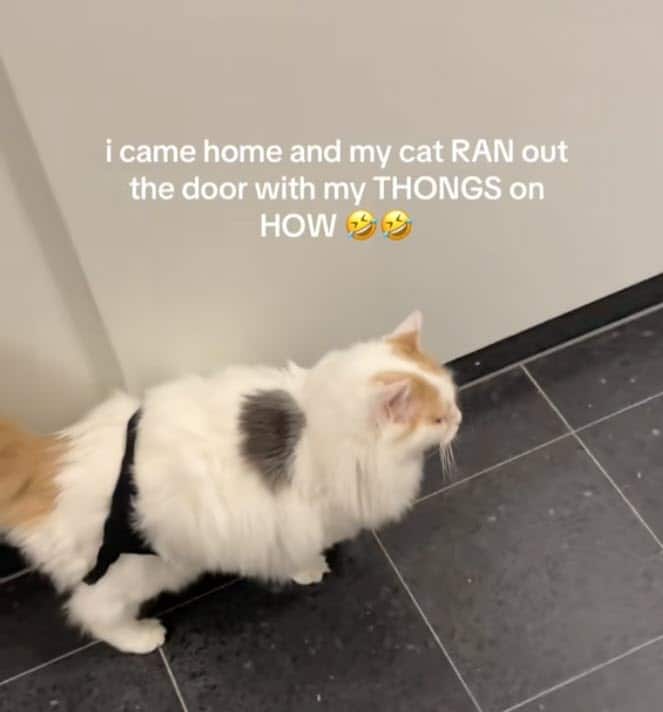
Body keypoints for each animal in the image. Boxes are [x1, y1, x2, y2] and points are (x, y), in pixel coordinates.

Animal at [0, 311, 461, 654]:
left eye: (453, 401)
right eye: (438, 419)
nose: (458, 419)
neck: (316, 424)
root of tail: (45, 459)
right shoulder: (291, 521)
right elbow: (298, 552)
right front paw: (311, 570)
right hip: (134, 571)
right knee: (91, 613)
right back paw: (142, 637)